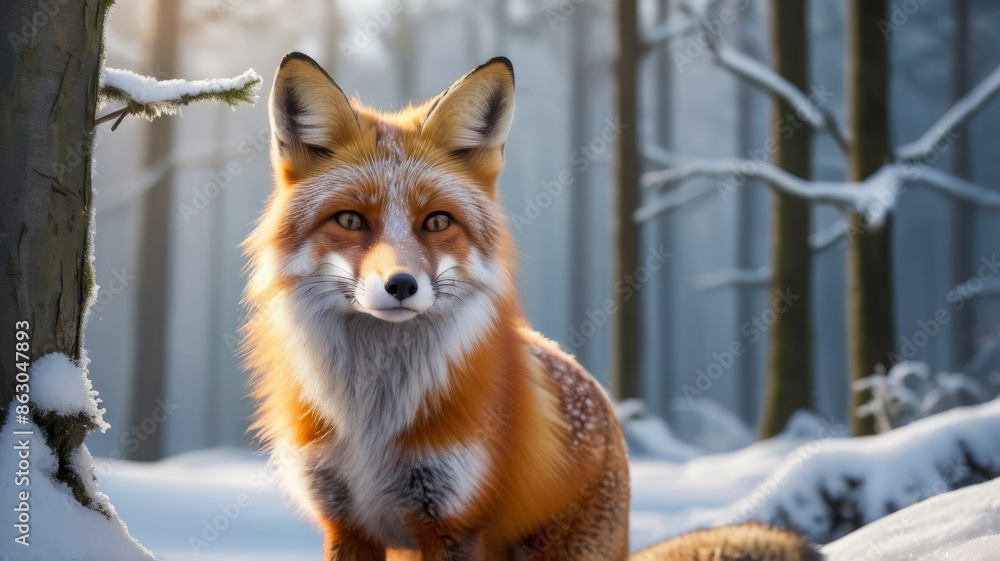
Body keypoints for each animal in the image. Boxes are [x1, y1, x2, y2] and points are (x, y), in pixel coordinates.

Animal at [242, 52, 821, 561]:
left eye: (436, 222)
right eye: (350, 220)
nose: (401, 285)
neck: (372, 421)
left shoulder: (453, 522)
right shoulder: (347, 523)